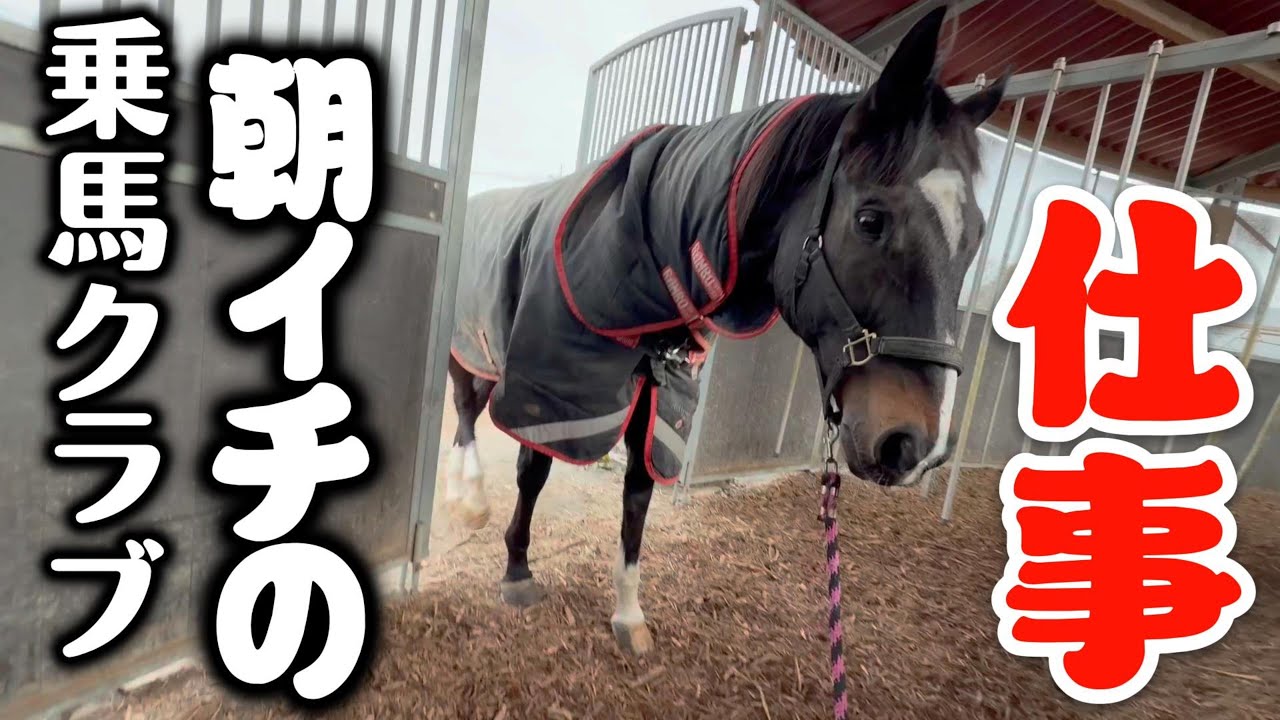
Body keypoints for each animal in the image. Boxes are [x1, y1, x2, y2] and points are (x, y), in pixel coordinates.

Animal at [443, 7, 1006, 655]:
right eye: (870, 219)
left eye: (975, 237)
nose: (917, 446)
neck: (645, 256)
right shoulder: (553, 387)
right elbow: (533, 472)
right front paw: (517, 571)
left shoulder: (662, 405)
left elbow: (637, 497)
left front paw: (628, 614)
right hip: (474, 347)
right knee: (466, 409)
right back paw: (468, 500)